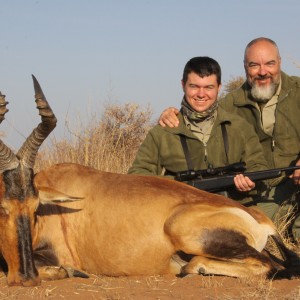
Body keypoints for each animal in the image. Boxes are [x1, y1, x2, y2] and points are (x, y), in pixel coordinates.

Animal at [0, 77, 298, 286]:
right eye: (4, 207)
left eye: (35, 207)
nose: (26, 278)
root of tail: (260, 219)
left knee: (269, 265)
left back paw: (191, 268)